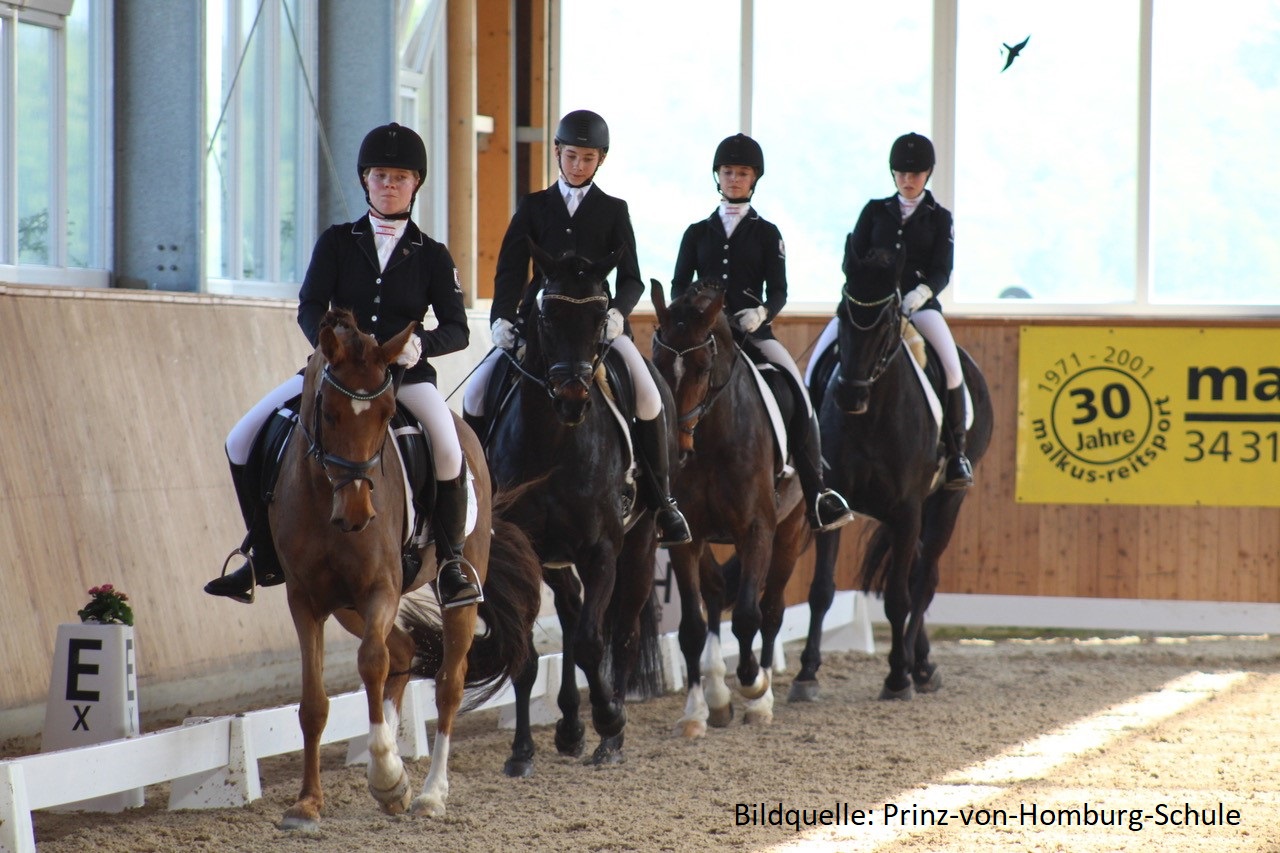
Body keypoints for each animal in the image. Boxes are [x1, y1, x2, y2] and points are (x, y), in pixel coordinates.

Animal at [272, 308, 542, 824]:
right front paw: (307, 803)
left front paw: (387, 777)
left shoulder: (381, 587)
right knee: (401, 651)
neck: (326, 498)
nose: (358, 514)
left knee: (447, 683)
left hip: (459, 584)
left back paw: (431, 792)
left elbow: (372, 663)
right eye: (329, 412)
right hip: (347, 607)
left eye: (384, 416)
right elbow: (314, 703)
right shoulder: (305, 599)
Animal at [486, 244, 665, 768]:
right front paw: (522, 750)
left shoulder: (601, 549)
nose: (572, 399)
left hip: (641, 543)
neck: (552, 442)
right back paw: (568, 727)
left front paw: (609, 719)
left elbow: (591, 642)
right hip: (554, 558)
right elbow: (527, 653)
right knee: (570, 612)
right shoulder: (523, 553)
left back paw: (608, 739)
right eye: (546, 315)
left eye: (599, 316)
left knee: (621, 633)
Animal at [650, 279, 808, 732]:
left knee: (771, 610)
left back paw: (763, 698)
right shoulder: (686, 537)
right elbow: (692, 626)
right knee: (718, 590)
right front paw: (698, 711)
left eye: (703, 368)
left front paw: (753, 685)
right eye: (657, 365)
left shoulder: (757, 531)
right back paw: (719, 693)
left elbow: (748, 616)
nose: (676, 451)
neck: (712, 438)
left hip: (791, 531)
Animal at [793, 249, 993, 701]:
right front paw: (806, 674)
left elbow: (900, 599)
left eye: (885, 322)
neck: (871, 417)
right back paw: (920, 661)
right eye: (842, 313)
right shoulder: (834, 505)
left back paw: (918, 669)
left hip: (946, 502)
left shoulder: (907, 511)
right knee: (915, 573)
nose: (849, 394)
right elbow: (821, 590)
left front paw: (897, 676)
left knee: (922, 579)